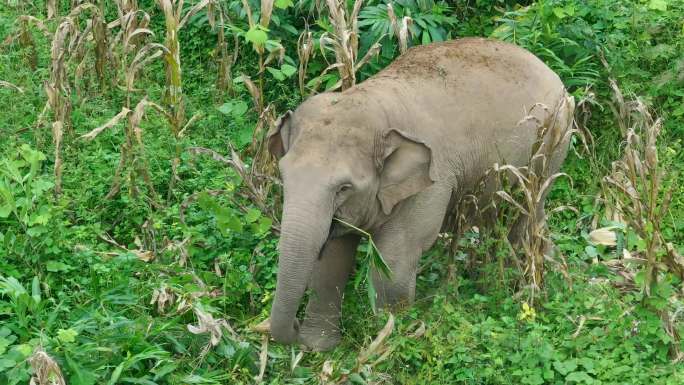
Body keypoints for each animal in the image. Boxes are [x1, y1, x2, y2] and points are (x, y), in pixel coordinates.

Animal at [264, 37, 576, 350]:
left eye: (343, 188)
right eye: (284, 176)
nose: (292, 326)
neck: (371, 102)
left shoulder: (431, 181)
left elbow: (394, 262)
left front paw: (387, 341)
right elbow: (332, 260)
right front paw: (318, 348)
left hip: (549, 147)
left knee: (522, 217)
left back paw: (527, 289)